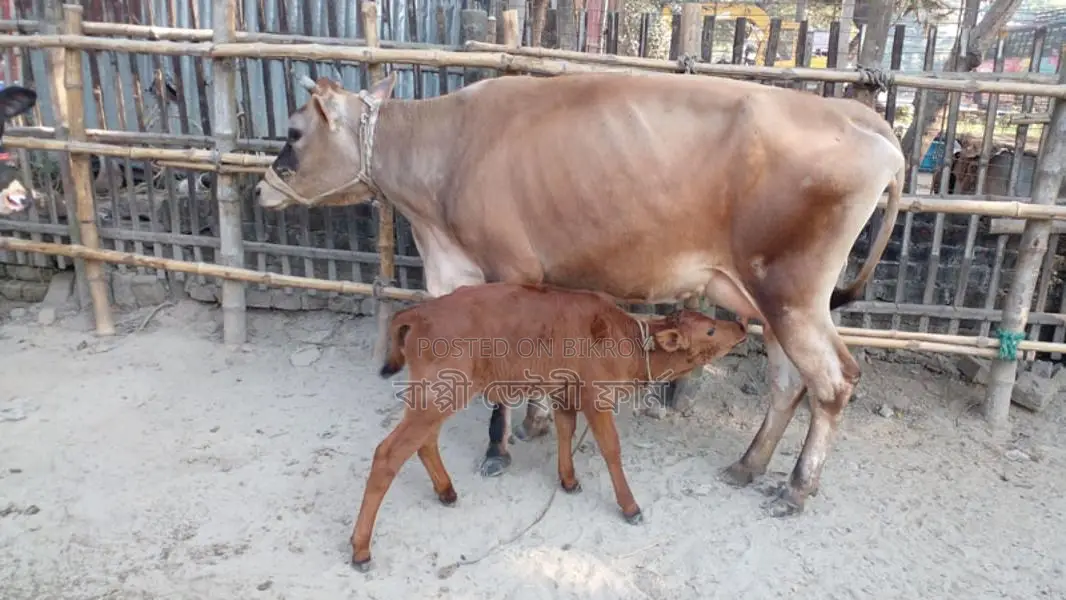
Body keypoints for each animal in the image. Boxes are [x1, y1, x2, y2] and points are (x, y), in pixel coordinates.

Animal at [254, 69, 905, 519]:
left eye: (293, 131)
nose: (260, 188)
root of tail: (857, 114)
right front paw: (540, 421)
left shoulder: (510, 269)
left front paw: (499, 449)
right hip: (759, 296)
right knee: (787, 380)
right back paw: (748, 465)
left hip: (793, 292)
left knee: (833, 382)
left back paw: (795, 490)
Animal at [349, 281, 749, 570]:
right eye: (710, 330)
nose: (741, 324)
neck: (628, 340)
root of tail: (418, 311)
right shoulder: (596, 397)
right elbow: (611, 449)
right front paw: (630, 506)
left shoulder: (565, 394)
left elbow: (565, 434)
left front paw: (568, 481)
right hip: (439, 394)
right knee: (388, 454)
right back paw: (361, 549)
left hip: (434, 397)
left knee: (424, 442)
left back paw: (446, 491)